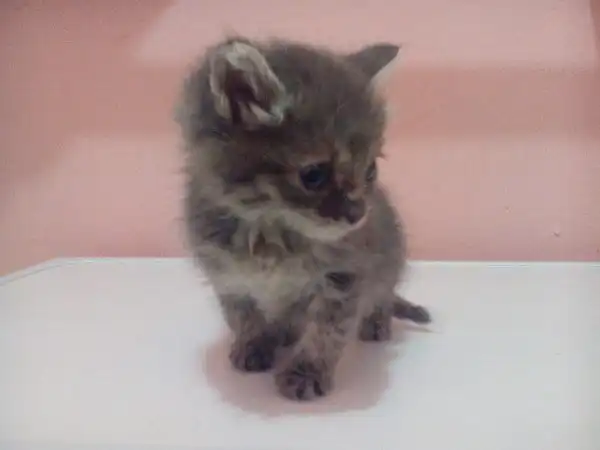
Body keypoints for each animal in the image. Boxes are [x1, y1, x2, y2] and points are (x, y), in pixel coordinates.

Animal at [175, 36, 431, 401]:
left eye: (371, 171)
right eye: (314, 175)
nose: (358, 215)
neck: (270, 229)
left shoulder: (347, 276)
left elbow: (327, 330)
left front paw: (306, 372)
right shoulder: (225, 274)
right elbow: (241, 314)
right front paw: (254, 344)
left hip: (391, 256)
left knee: (383, 291)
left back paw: (376, 322)